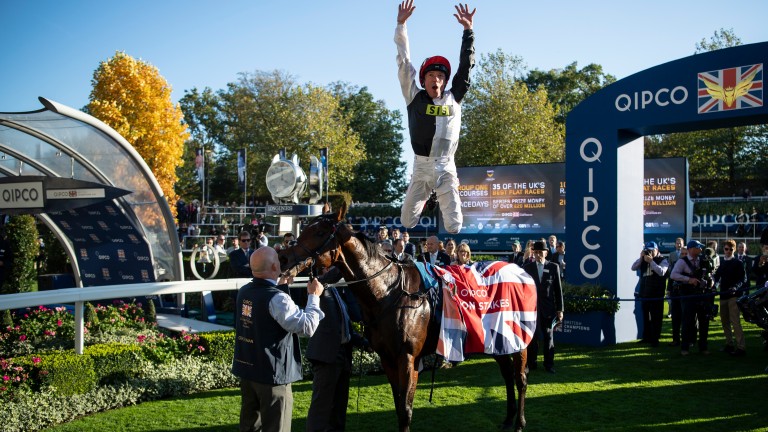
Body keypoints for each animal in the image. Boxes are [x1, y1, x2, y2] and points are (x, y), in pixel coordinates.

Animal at [280, 203, 528, 432]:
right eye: (305, 229)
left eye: (319, 232)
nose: (283, 258)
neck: (387, 291)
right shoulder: (388, 358)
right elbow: (399, 405)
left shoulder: (408, 356)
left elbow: (406, 409)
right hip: (496, 342)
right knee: (507, 375)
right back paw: (508, 419)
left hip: (518, 339)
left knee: (520, 379)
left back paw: (519, 423)